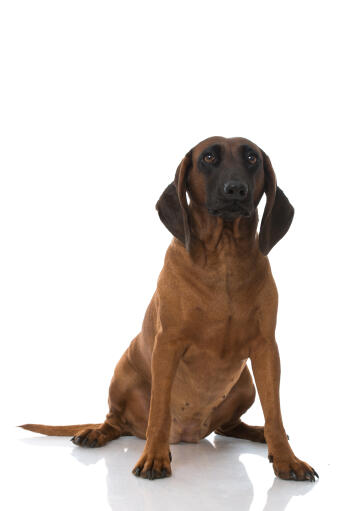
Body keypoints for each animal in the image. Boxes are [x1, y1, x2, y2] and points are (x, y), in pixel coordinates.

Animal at [21, 135, 318, 480]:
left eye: (251, 158)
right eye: (208, 157)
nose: (235, 190)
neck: (225, 258)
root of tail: (188, 434)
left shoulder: (266, 348)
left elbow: (275, 412)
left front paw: (286, 459)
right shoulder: (167, 346)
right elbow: (159, 412)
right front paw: (154, 457)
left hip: (245, 384)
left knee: (229, 426)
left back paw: (259, 434)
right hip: (123, 373)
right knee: (115, 420)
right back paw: (96, 433)